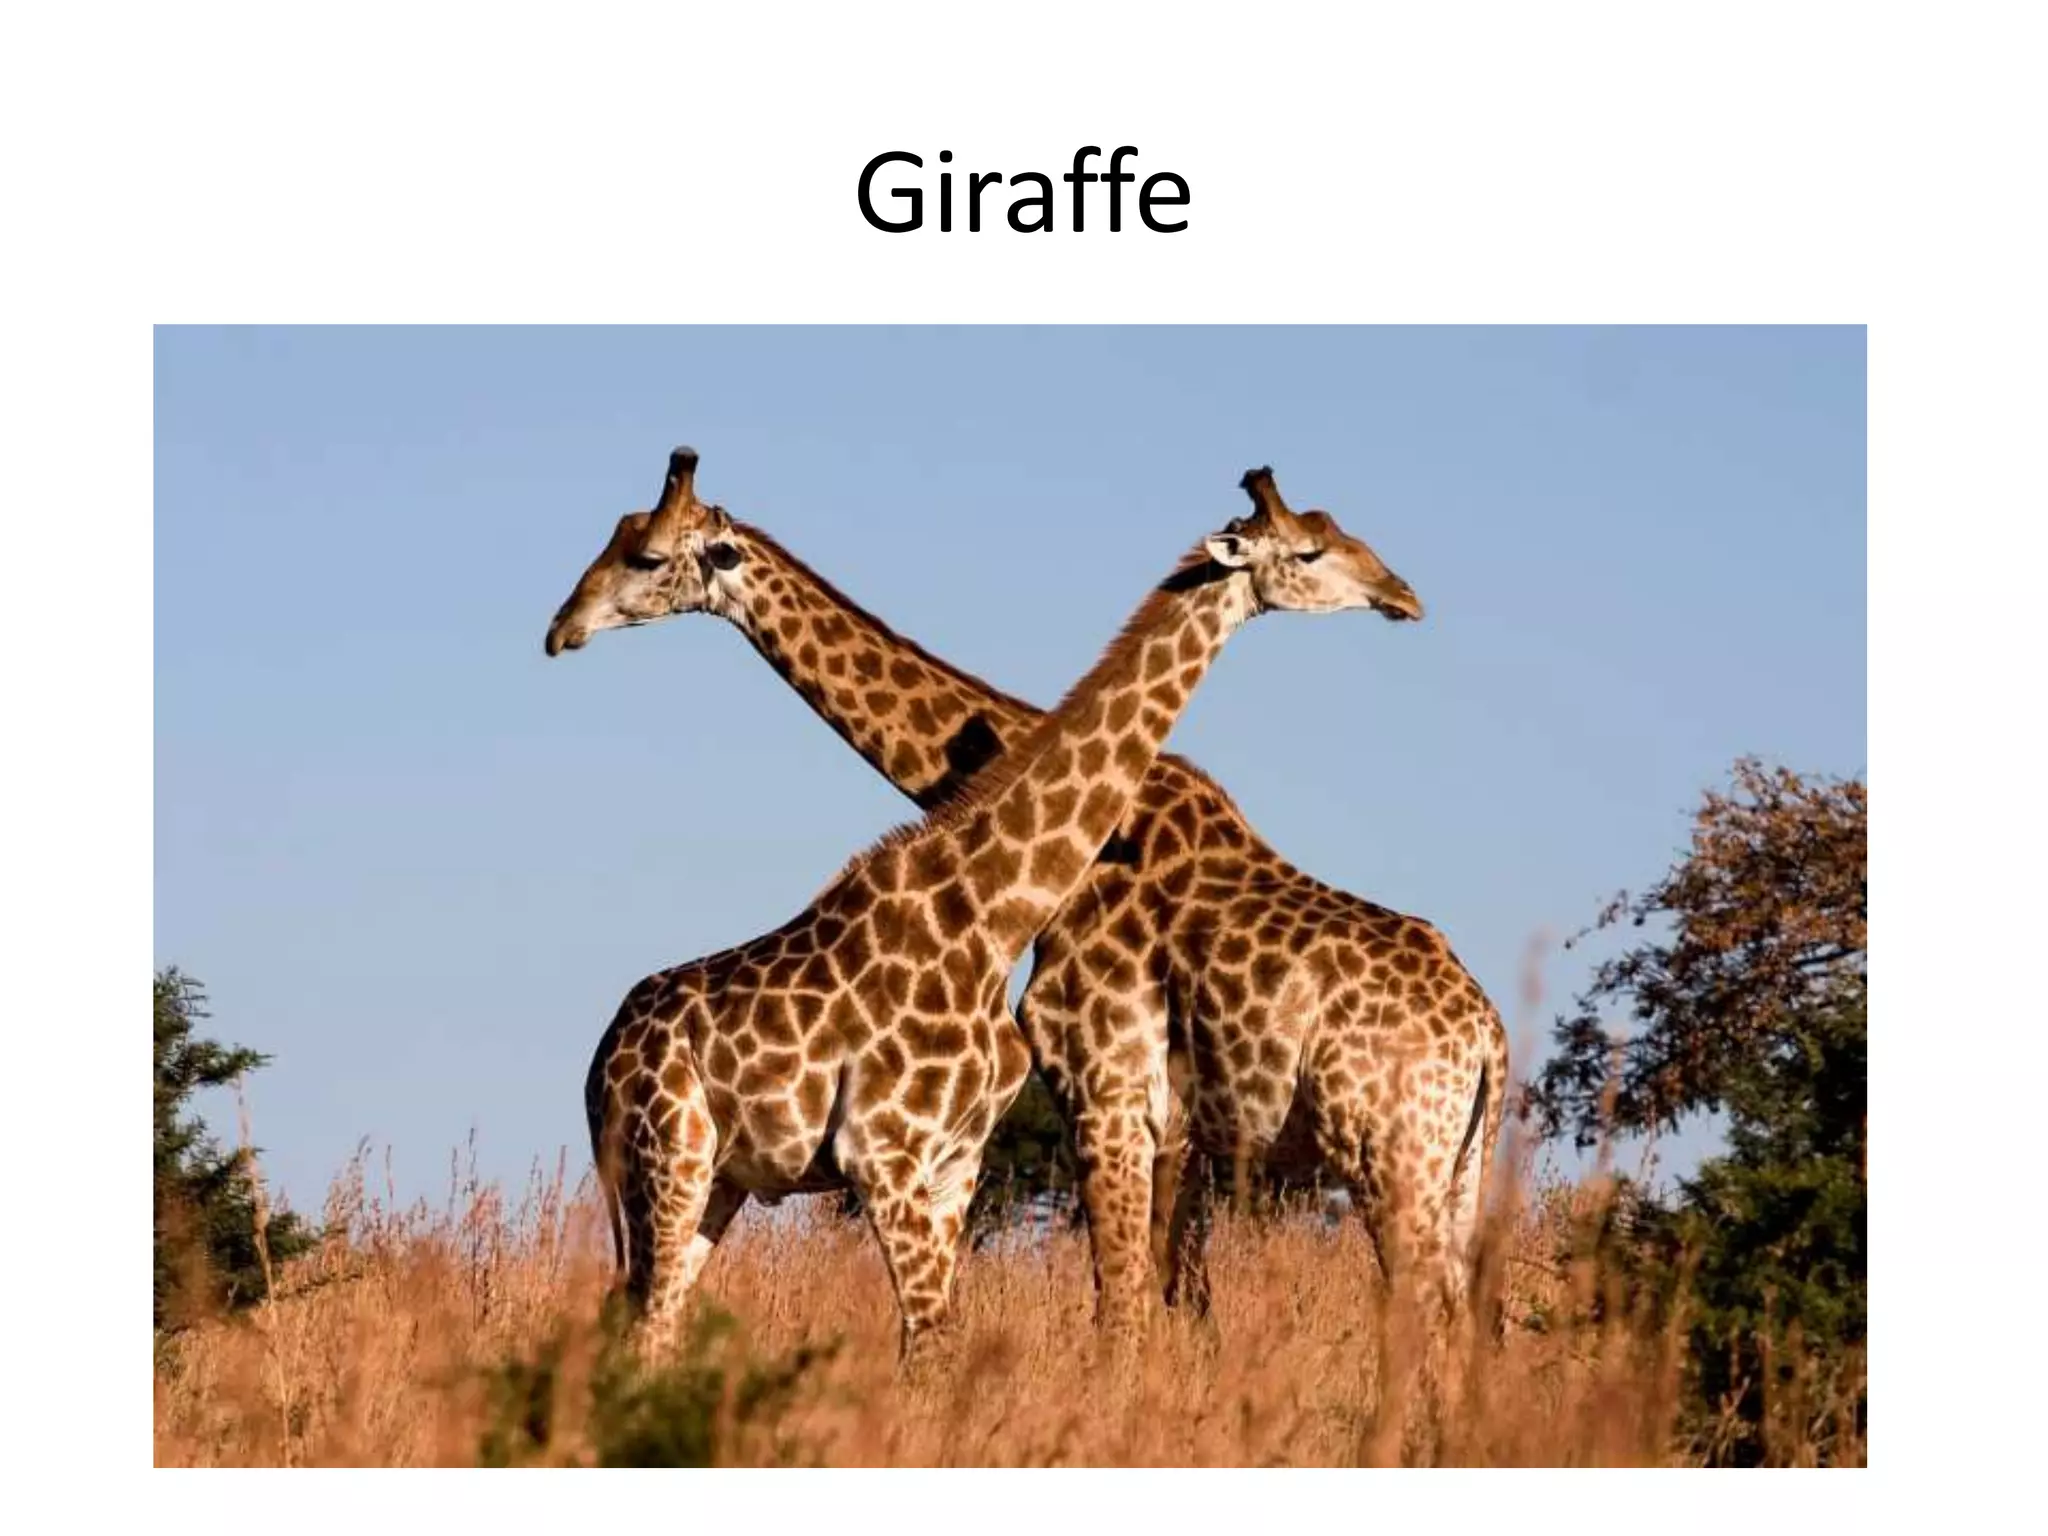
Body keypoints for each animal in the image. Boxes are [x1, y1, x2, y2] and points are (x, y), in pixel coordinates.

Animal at [550, 450, 1507, 1333]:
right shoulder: (1146, 1123)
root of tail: (1489, 1037)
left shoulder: (1106, 1094)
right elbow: (1157, 1309)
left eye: (643, 555)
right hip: (1445, 1168)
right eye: (1315, 545)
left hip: (1395, 1155)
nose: (562, 628)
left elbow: (1130, 1310)